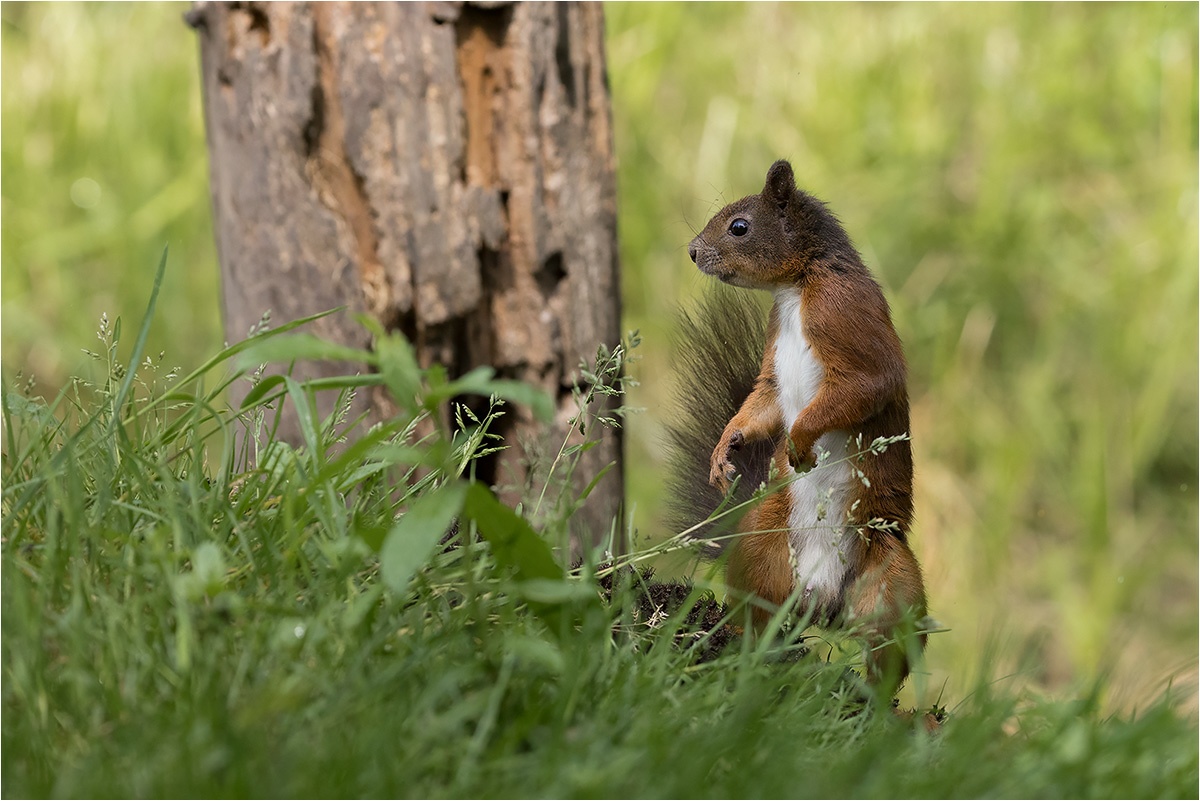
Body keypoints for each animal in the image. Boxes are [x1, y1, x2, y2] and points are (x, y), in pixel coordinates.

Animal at [665, 160, 928, 691]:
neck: (796, 287)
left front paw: (800, 442)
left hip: (891, 584)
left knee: (887, 653)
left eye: (739, 226)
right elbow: (763, 401)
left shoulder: (846, 315)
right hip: (763, 547)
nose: (693, 251)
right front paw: (724, 448)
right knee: (758, 611)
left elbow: (864, 385)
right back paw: (750, 651)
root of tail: (820, 601)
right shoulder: (772, 366)